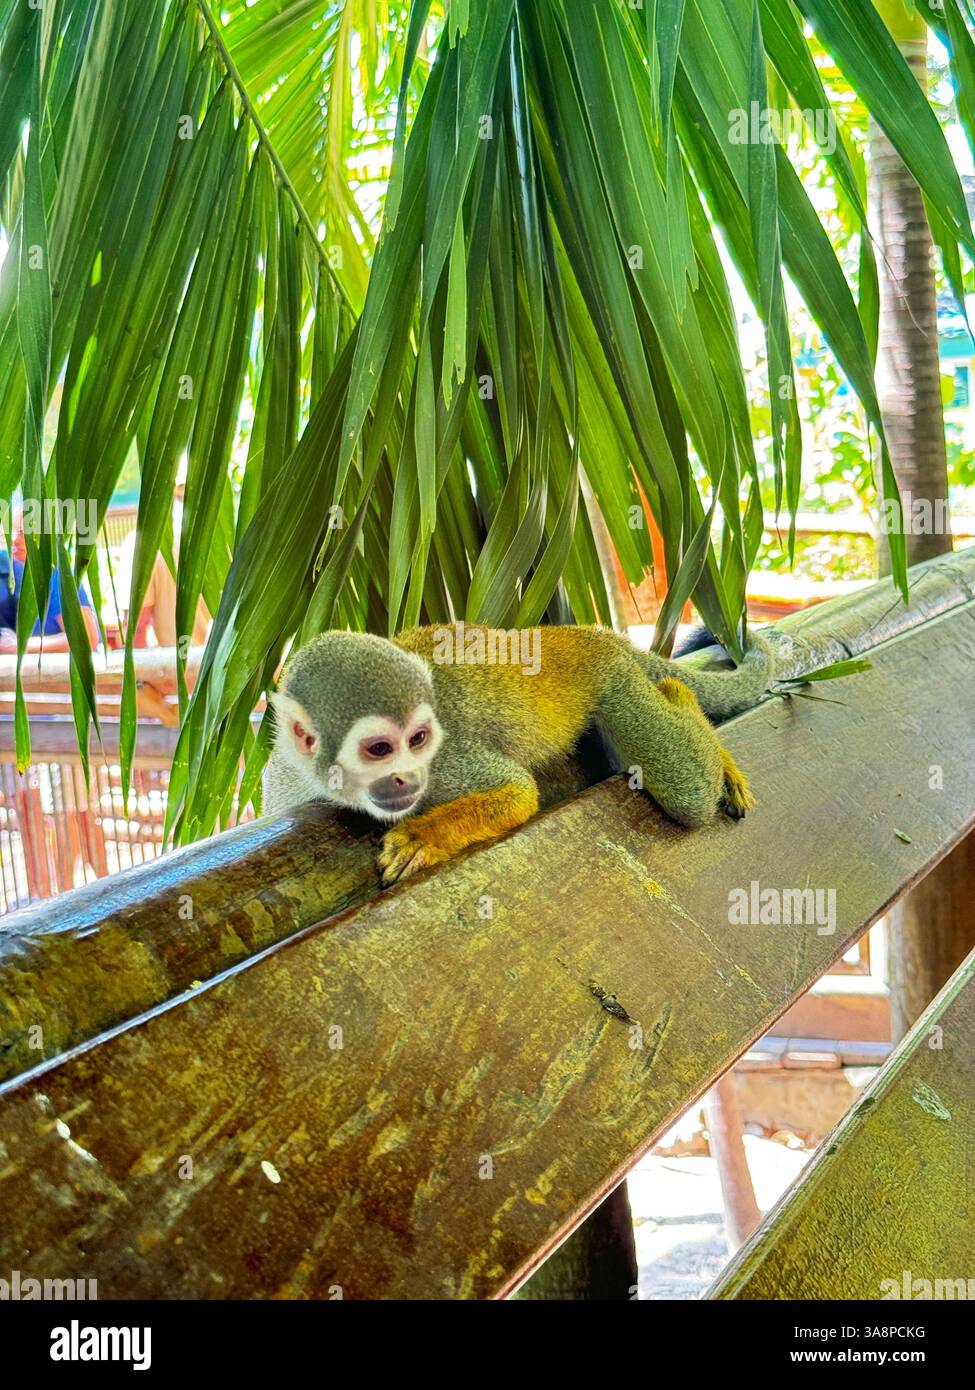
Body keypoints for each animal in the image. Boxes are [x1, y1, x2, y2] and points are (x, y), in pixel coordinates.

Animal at [264, 622, 779, 886]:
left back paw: (680, 696)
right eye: (379, 749)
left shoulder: (445, 760)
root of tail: (591, 635)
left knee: (688, 791)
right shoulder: (282, 778)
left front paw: (422, 838)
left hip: (615, 680)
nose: (407, 780)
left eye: (419, 739)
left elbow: (517, 792)